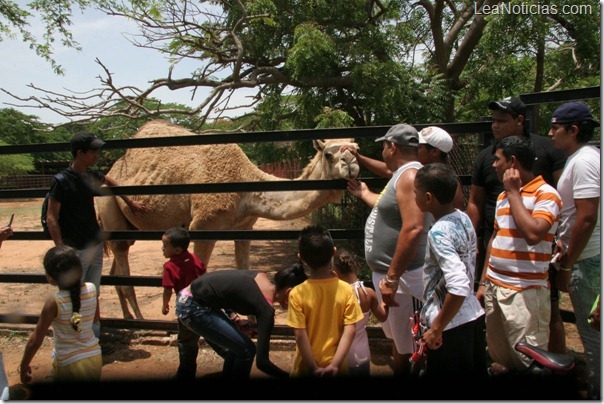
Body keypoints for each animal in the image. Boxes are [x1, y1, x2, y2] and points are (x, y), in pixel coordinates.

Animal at [95, 118, 358, 320]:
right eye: (329, 154)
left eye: (356, 148)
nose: (351, 164)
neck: (245, 188)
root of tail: (112, 170)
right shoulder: (203, 225)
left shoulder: (244, 227)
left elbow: (246, 271)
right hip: (108, 205)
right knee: (123, 270)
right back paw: (140, 323)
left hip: (127, 227)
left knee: (116, 271)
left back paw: (128, 318)